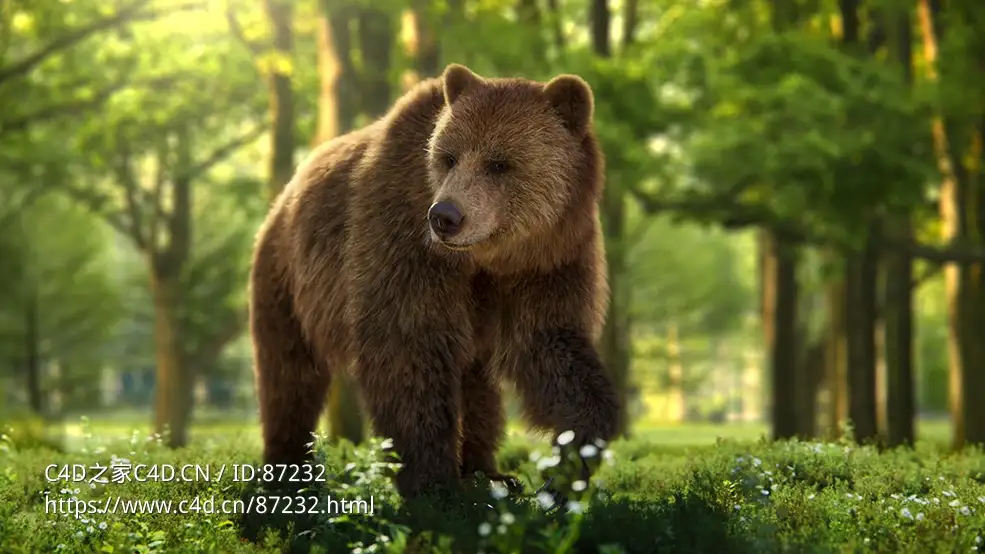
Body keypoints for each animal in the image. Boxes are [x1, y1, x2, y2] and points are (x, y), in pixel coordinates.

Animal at [248, 62, 620, 499]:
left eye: (499, 163)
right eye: (448, 158)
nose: (446, 216)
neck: (487, 258)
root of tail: (284, 194)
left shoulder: (549, 260)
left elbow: (550, 344)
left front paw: (569, 461)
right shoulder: (405, 242)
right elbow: (408, 348)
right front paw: (433, 484)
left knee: (477, 383)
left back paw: (486, 471)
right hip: (287, 277)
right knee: (288, 376)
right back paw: (285, 471)